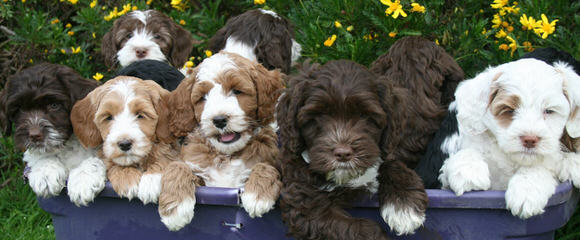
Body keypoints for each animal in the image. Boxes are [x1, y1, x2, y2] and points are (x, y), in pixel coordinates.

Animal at [0, 63, 105, 206]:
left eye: (54, 105)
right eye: (20, 109)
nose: (34, 135)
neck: (66, 145)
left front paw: (83, 181)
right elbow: (39, 155)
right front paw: (45, 174)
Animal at [157, 52, 284, 231]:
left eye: (237, 91)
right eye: (202, 97)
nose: (219, 120)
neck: (226, 154)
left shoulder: (271, 158)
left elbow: (266, 166)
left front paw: (257, 196)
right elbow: (177, 166)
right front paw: (174, 209)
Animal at [278, 60, 428, 240]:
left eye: (365, 116)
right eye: (318, 116)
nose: (343, 153)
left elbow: (391, 163)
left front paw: (404, 206)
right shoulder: (304, 203)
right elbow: (353, 228)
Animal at [438, 59, 580, 218]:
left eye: (549, 111)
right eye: (509, 110)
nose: (530, 139)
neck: (510, 158)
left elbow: (536, 168)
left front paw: (526, 192)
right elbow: (467, 152)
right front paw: (469, 172)